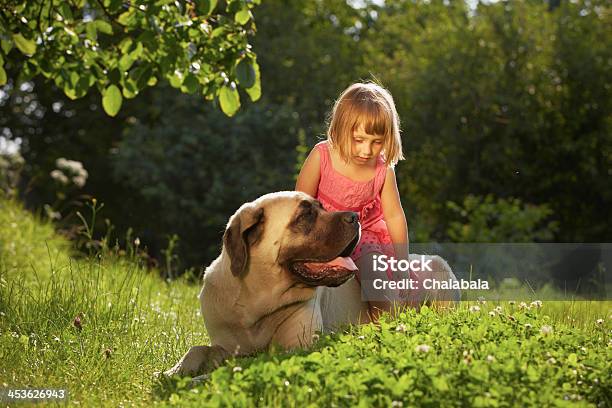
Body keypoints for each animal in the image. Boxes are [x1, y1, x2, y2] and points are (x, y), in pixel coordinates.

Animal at [165, 191, 456, 376]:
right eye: (305, 216)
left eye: (322, 207)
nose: (354, 217)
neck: (257, 301)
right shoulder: (226, 342)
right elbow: (198, 348)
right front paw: (173, 371)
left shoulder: (295, 348)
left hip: (439, 268)